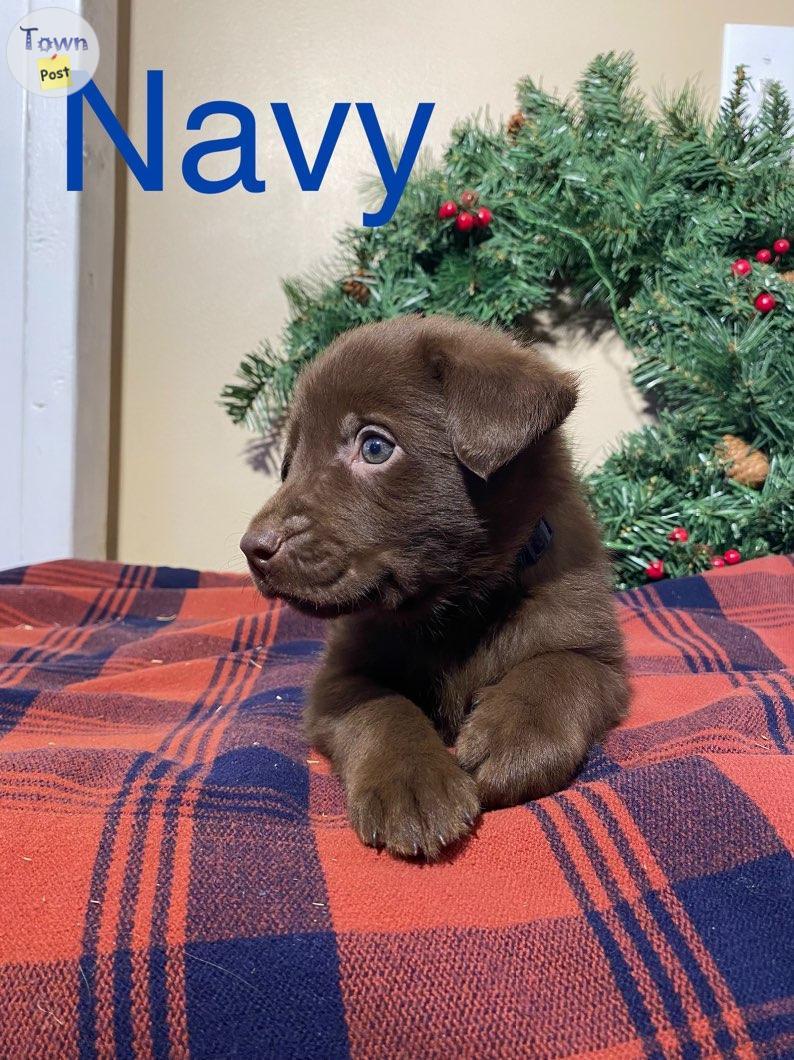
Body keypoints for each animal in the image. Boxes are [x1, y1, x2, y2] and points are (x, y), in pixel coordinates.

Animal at [239, 315, 627, 860]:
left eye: (375, 446)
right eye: (288, 464)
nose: (252, 549)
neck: (455, 607)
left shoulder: (597, 651)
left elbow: (558, 669)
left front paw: (516, 739)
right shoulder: (337, 677)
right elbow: (381, 708)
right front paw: (410, 782)